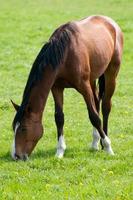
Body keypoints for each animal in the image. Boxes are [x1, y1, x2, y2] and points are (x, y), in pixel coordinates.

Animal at [10, 15, 123, 161]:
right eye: (14, 127)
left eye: (23, 128)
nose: (16, 155)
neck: (65, 53)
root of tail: (111, 22)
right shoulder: (57, 88)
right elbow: (59, 118)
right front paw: (59, 151)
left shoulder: (84, 87)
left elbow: (94, 117)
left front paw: (109, 148)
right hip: (93, 79)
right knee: (97, 102)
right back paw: (95, 143)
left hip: (111, 73)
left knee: (105, 107)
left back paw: (104, 144)